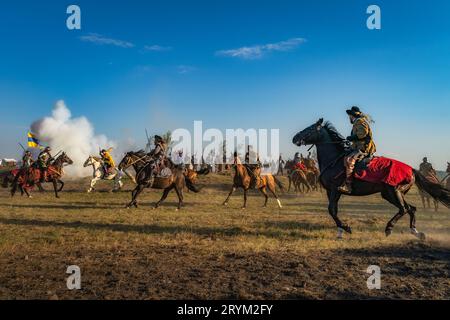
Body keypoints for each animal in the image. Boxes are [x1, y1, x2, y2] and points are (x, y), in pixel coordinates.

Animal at [292, 119, 450, 239]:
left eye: (310, 128)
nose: (295, 138)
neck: (333, 160)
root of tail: (411, 169)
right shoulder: (330, 192)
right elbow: (334, 210)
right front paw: (340, 231)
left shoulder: (335, 190)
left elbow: (331, 210)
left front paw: (346, 228)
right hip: (392, 194)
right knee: (411, 209)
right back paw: (416, 232)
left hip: (393, 192)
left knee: (404, 209)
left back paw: (389, 228)